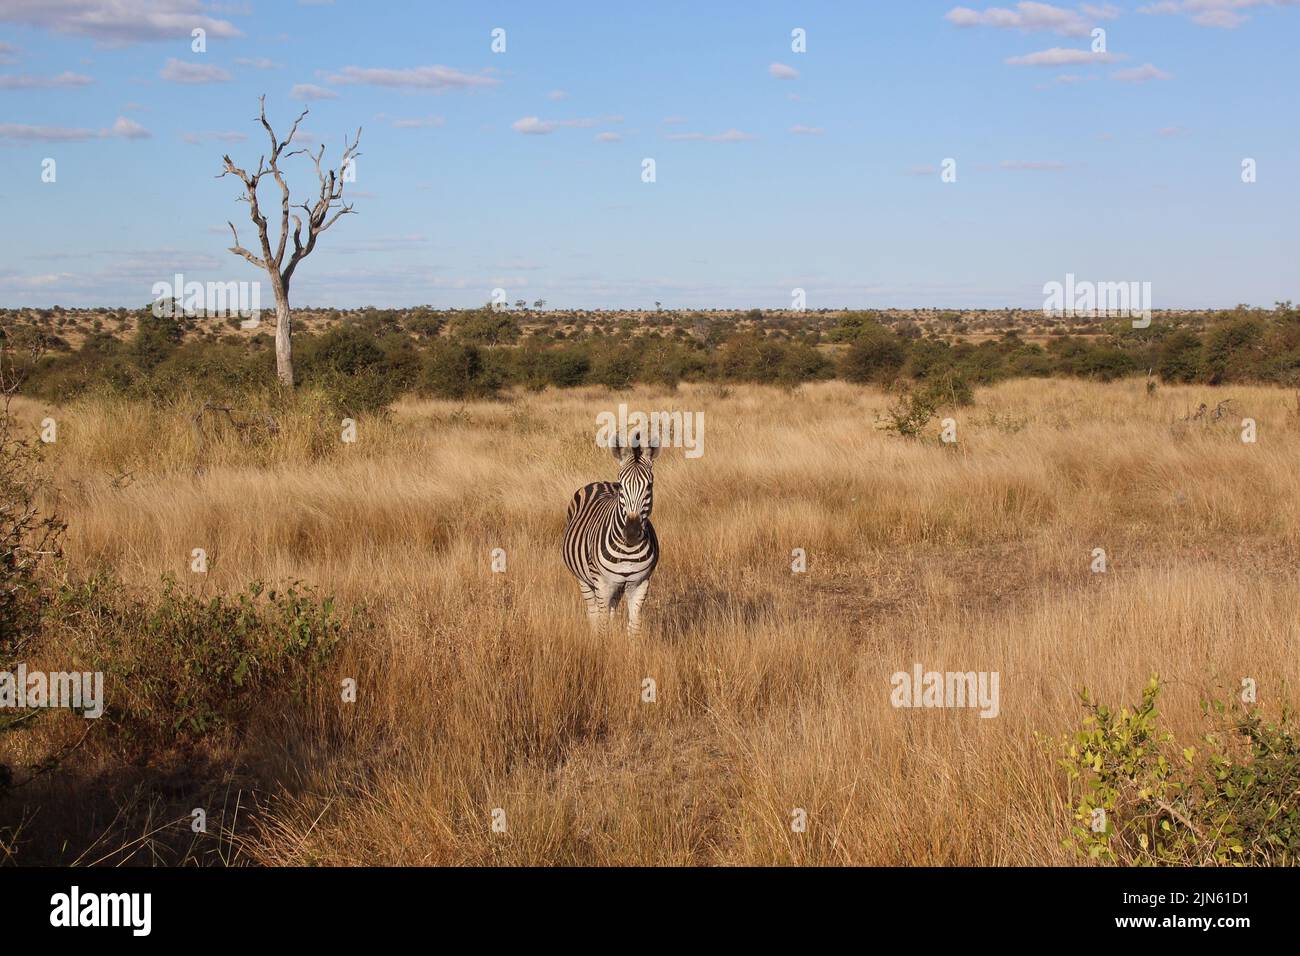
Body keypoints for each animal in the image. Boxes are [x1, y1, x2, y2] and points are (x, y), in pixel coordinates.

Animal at [562, 433, 660, 636]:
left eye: (649, 486)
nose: (631, 533)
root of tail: (599, 482)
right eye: (622, 486)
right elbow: (602, 624)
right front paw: (603, 643)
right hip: (584, 580)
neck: (628, 551)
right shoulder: (602, 583)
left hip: (618, 585)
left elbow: (634, 626)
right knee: (594, 612)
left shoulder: (640, 583)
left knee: (611, 609)